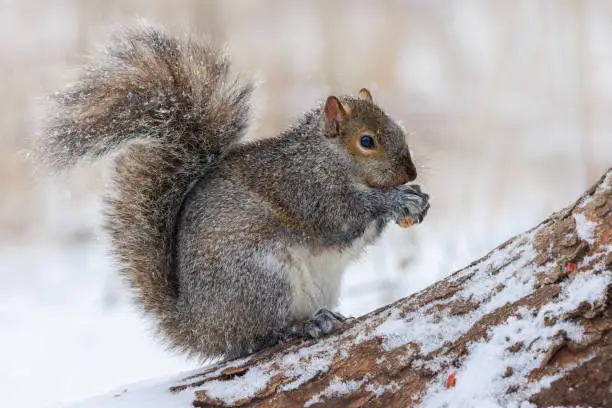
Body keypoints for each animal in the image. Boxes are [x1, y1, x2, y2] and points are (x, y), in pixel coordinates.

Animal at [39, 24, 430, 360]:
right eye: (367, 141)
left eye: (399, 128)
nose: (410, 172)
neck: (326, 156)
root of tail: (200, 327)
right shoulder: (305, 188)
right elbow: (341, 218)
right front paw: (394, 200)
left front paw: (417, 196)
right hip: (260, 274)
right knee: (258, 336)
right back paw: (302, 327)